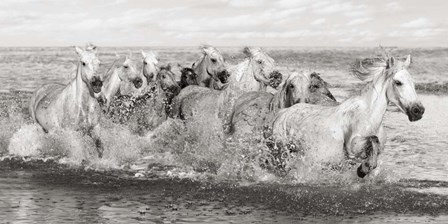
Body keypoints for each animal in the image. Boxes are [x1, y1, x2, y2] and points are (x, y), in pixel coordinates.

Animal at [268, 53, 426, 177]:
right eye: (398, 82)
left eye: (413, 83)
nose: (418, 111)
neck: (370, 118)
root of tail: (282, 113)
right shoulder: (352, 146)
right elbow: (373, 140)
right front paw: (363, 169)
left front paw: (364, 169)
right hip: (282, 153)